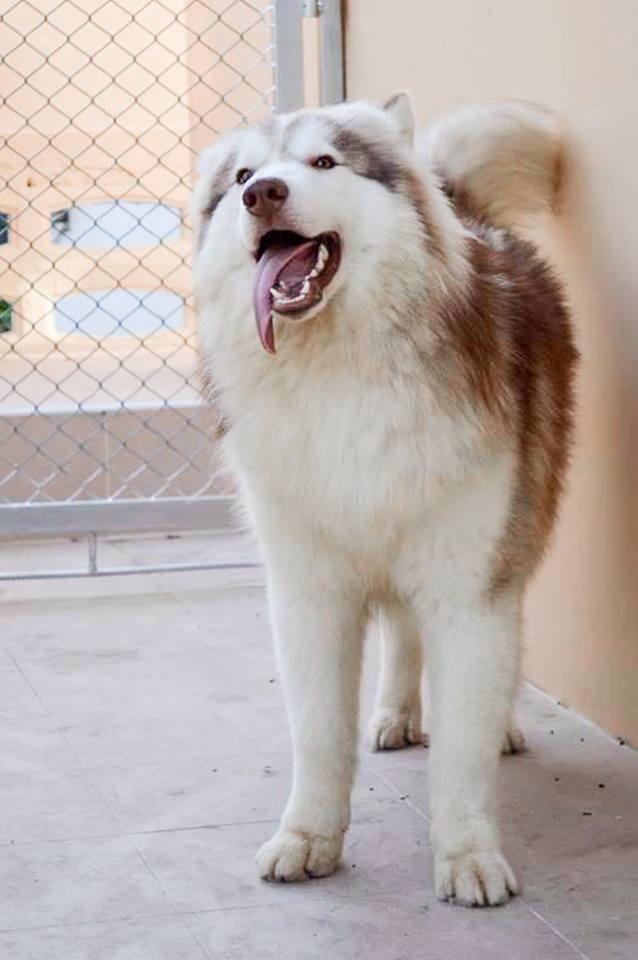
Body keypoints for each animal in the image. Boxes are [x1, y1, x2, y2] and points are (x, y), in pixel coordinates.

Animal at [192, 93, 577, 906]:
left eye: (324, 162)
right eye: (242, 175)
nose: (261, 194)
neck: (342, 371)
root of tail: (466, 212)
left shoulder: (470, 583)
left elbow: (461, 747)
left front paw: (467, 854)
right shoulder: (309, 591)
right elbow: (317, 735)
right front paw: (308, 839)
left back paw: (499, 723)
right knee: (403, 632)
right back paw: (397, 713)